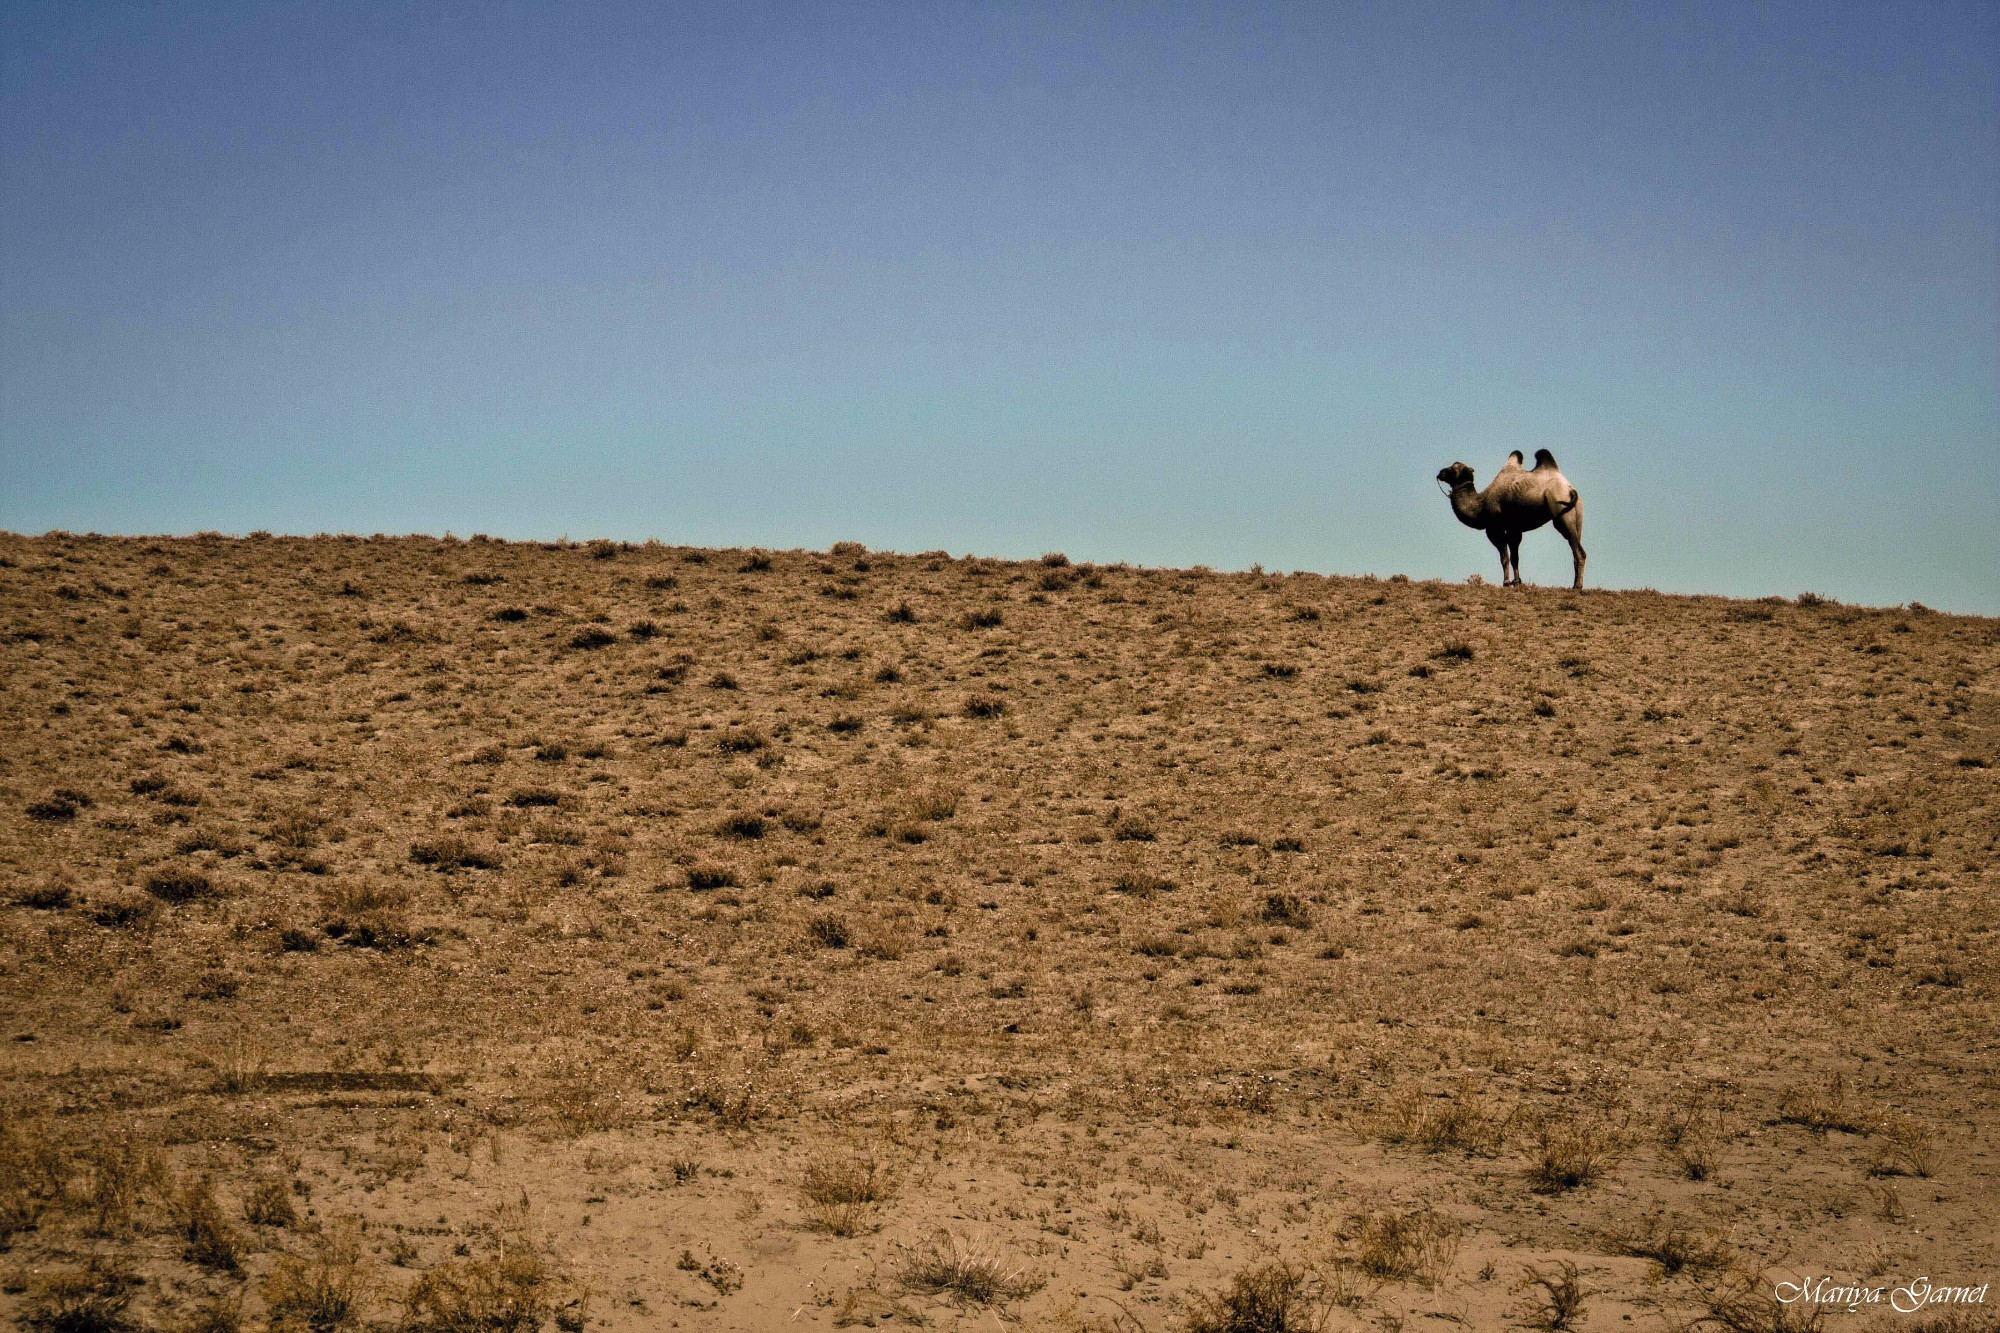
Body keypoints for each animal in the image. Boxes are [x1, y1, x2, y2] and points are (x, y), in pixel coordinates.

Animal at [1440, 448, 1592, 588]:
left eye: (1454, 468)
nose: (1441, 472)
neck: (1480, 505)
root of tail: (1569, 488)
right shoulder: (1515, 528)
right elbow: (1515, 557)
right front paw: (1517, 582)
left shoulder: (1495, 528)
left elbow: (1504, 557)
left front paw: (1506, 582)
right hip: (1577, 514)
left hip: (1561, 513)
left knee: (1578, 550)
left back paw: (1577, 586)